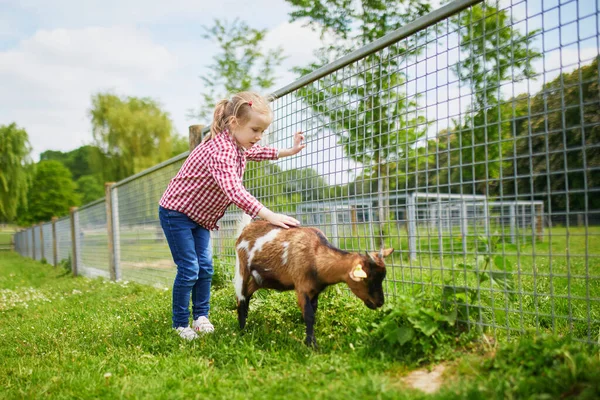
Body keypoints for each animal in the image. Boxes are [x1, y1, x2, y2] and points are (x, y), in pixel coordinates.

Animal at [234, 220, 394, 346]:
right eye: (368, 279)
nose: (380, 302)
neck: (316, 256)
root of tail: (246, 228)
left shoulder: (315, 290)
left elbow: (313, 311)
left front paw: (308, 339)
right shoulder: (301, 287)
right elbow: (309, 315)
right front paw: (312, 345)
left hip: (260, 279)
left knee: (247, 294)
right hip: (242, 267)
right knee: (240, 296)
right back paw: (241, 331)